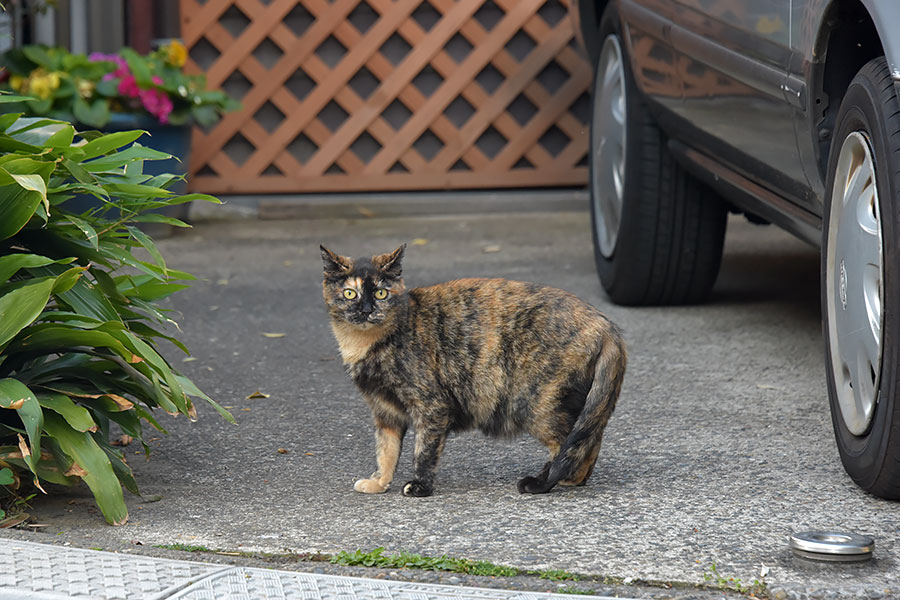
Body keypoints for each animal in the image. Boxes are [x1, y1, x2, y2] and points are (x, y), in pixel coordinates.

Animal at [322, 244, 624, 496]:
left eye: (381, 293)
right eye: (350, 293)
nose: (366, 309)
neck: (364, 344)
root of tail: (606, 325)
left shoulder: (431, 406)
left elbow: (423, 451)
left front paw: (420, 486)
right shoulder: (385, 412)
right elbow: (386, 451)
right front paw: (379, 483)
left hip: (536, 403)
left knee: (575, 443)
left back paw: (553, 480)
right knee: (589, 436)